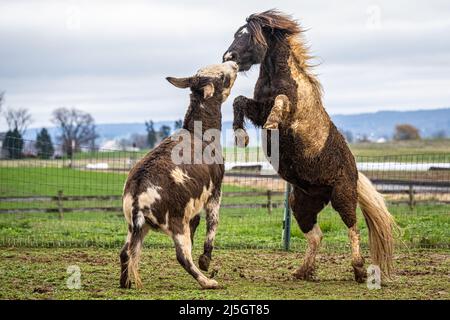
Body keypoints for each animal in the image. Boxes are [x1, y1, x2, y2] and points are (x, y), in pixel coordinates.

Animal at [119, 61, 239, 288]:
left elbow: (197, 222)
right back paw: (207, 282)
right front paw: (205, 260)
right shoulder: (215, 191)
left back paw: (125, 282)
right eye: (221, 77)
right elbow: (213, 222)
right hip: (176, 224)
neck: (200, 132)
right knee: (182, 257)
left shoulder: (194, 201)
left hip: (136, 227)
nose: (234, 63)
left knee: (125, 252)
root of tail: (138, 197)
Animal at [223, 9, 396, 282]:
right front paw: (241, 136)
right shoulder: (257, 109)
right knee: (316, 235)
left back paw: (359, 270)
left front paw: (271, 124)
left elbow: (281, 101)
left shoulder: (291, 114)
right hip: (302, 204)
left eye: (250, 35)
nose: (228, 57)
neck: (278, 77)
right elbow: (239, 101)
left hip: (343, 196)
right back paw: (302, 271)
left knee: (353, 228)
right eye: (236, 34)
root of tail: (356, 173)